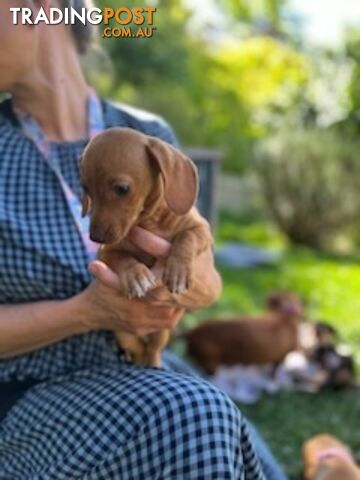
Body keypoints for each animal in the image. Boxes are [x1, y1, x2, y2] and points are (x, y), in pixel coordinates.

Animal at [80, 127, 212, 368]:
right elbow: (122, 258)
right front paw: (135, 276)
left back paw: (152, 361)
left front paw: (178, 271)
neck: (150, 222)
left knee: (152, 347)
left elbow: (187, 237)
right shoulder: (107, 252)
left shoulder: (202, 229)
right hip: (122, 333)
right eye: (86, 189)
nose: (95, 237)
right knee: (137, 347)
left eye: (121, 189)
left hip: (163, 332)